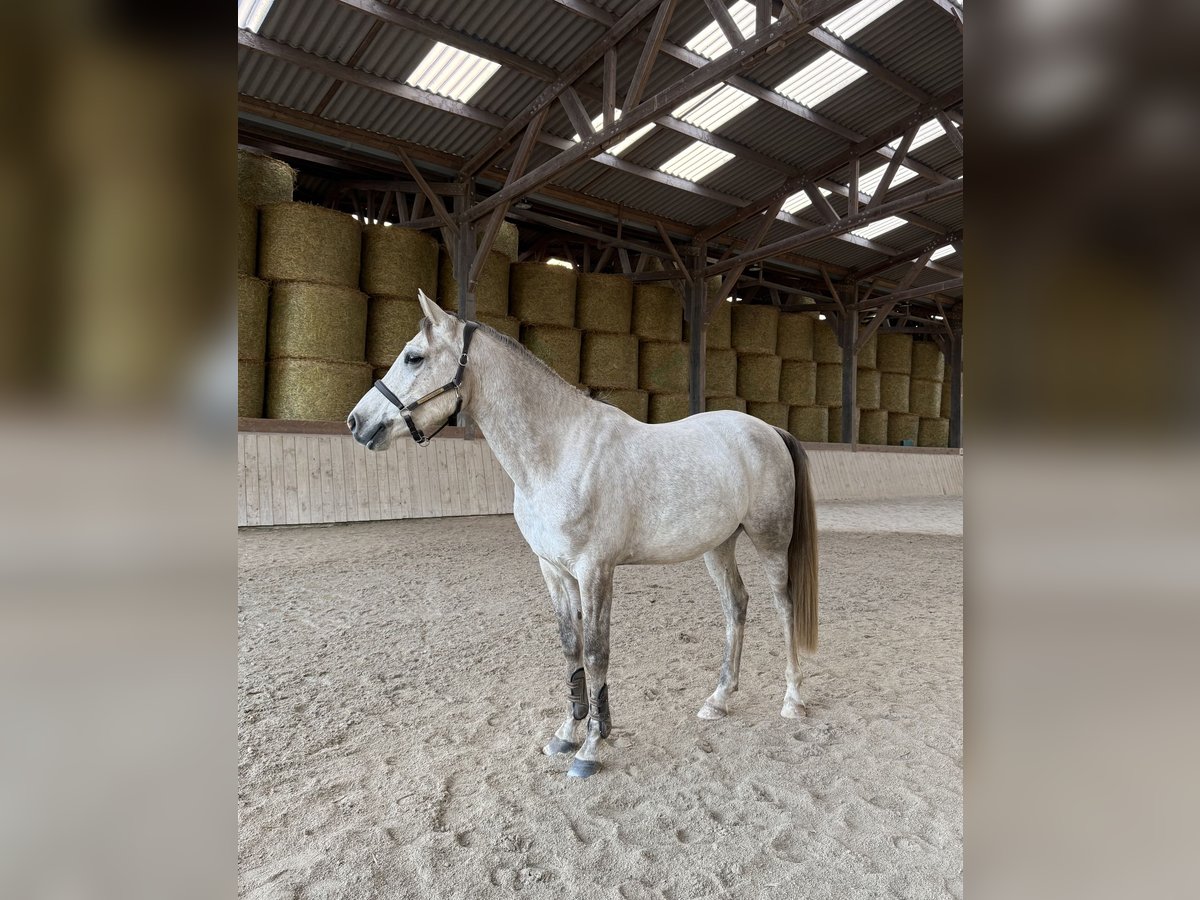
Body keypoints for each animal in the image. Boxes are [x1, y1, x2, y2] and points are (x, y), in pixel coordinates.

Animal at [347, 289, 817, 779]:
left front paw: (592, 748)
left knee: (784, 606)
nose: (356, 422)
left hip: (770, 541)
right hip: (718, 545)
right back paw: (719, 699)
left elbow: (595, 653)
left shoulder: (595, 571)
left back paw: (793, 700)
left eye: (414, 357)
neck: (559, 452)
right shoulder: (554, 570)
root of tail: (769, 430)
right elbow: (570, 649)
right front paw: (568, 734)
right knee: (736, 605)